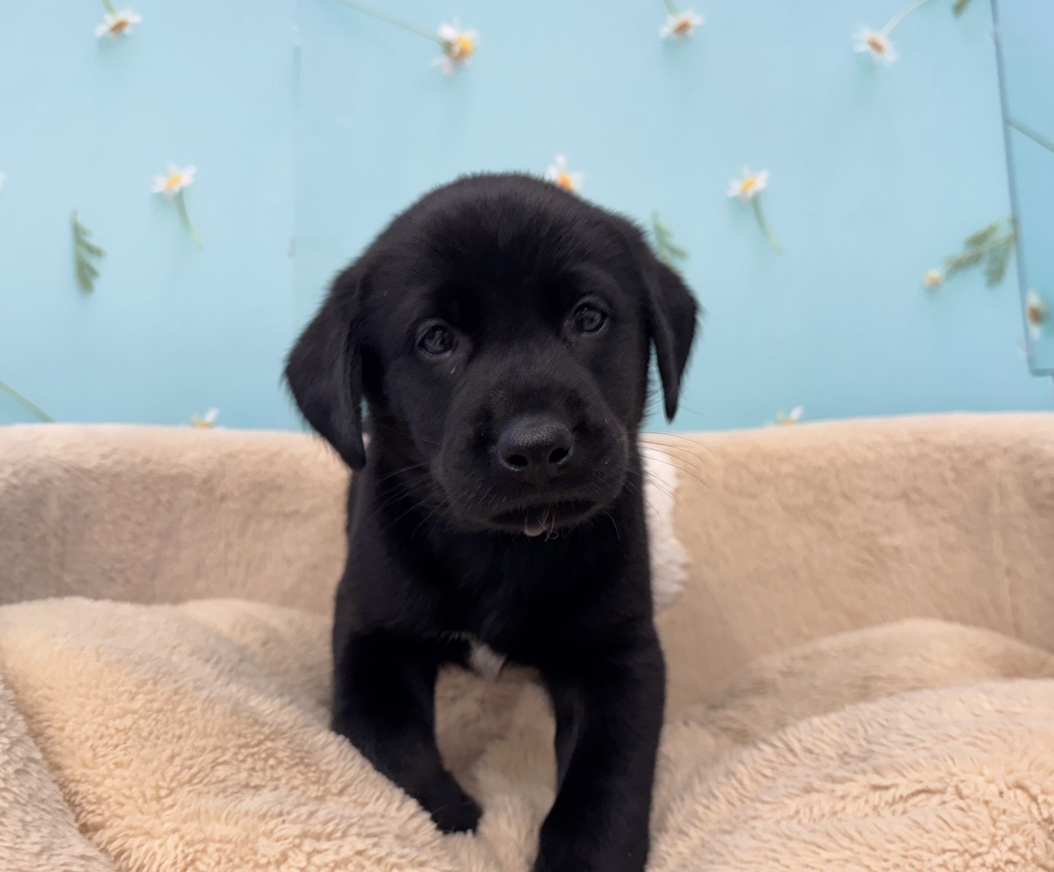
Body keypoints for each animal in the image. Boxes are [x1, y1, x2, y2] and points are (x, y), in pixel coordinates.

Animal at [284, 173, 699, 872]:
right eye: (436, 339)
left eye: (588, 317)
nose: (535, 446)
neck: (506, 549)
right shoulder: (370, 635)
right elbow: (388, 748)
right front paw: (456, 824)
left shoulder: (621, 651)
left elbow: (607, 777)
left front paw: (584, 858)